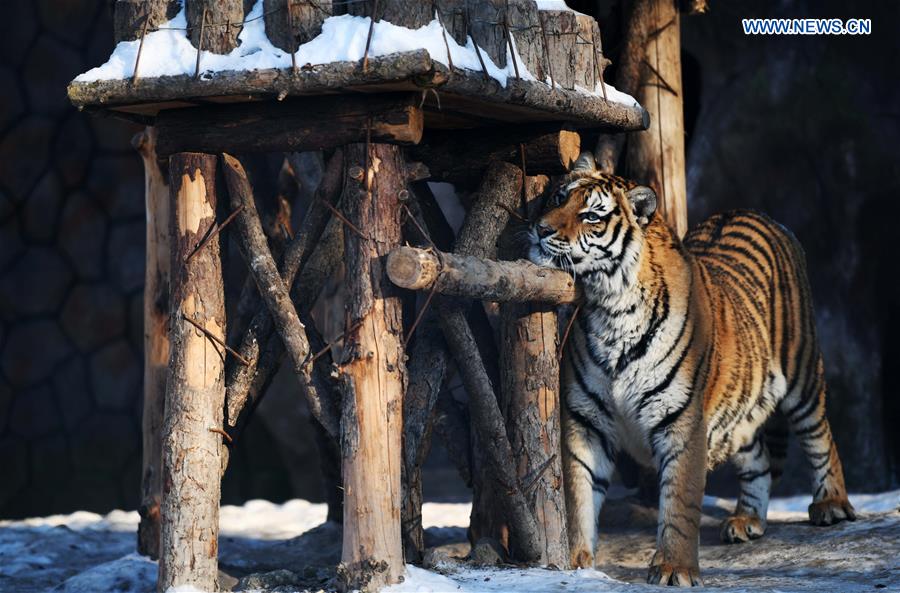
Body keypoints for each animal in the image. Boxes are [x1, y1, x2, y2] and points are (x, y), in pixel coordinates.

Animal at [527, 153, 856, 587]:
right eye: (557, 197)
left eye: (591, 215)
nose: (540, 229)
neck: (608, 306)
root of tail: (753, 211)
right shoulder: (585, 420)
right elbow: (578, 494)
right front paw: (579, 563)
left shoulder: (681, 420)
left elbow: (679, 501)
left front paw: (674, 568)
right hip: (742, 409)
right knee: (759, 459)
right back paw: (746, 521)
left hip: (801, 372)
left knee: (821, 436)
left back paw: (831, 504)